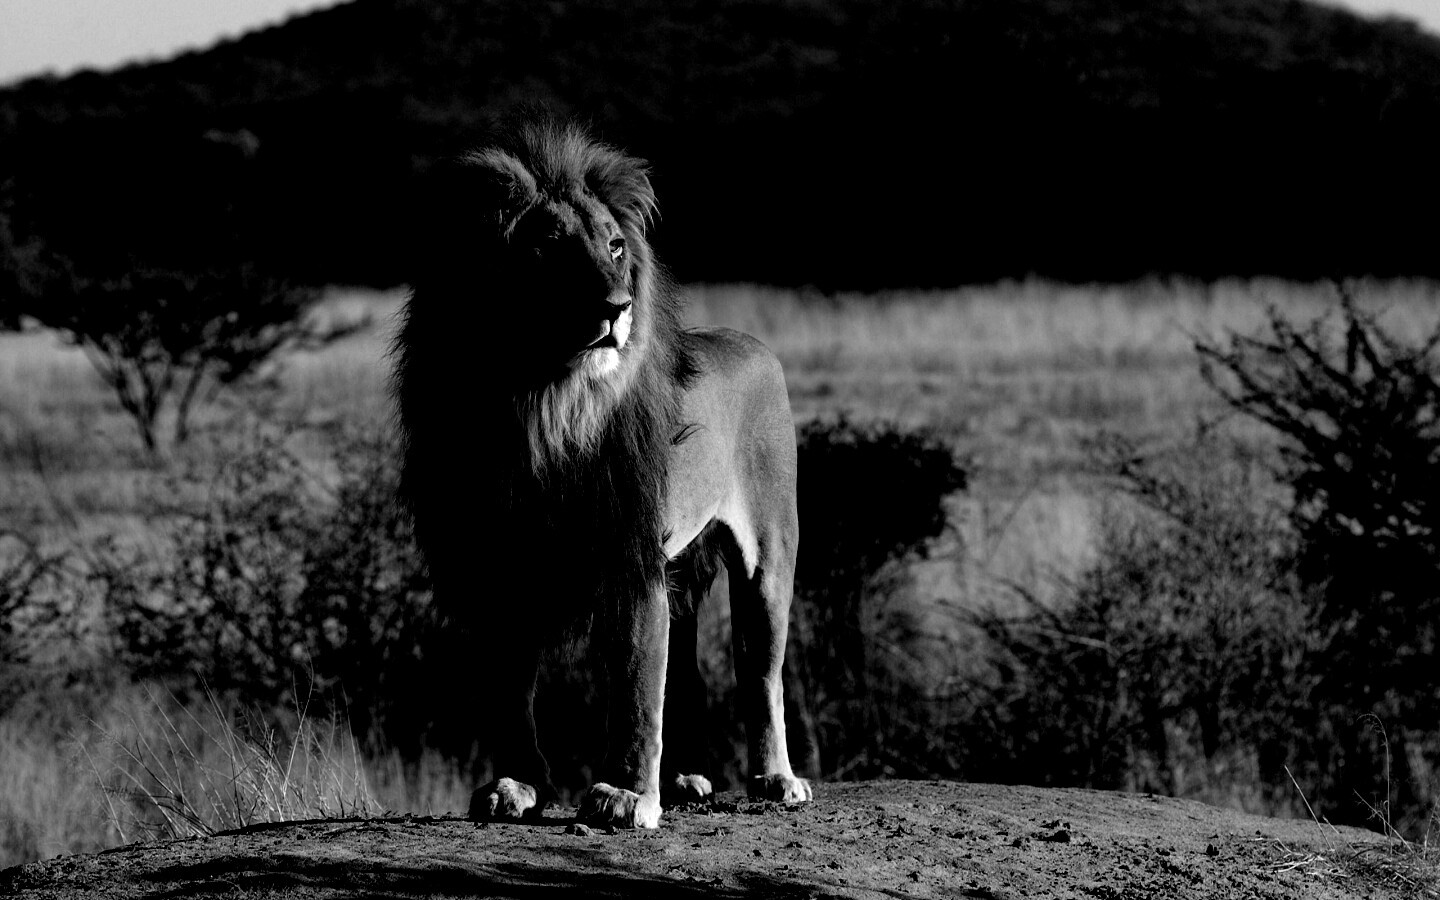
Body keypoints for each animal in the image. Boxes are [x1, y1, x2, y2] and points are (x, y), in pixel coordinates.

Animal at [392, 117, 812, 829]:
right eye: (548, 250)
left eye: (616, 248)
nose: (616, 307)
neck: (538, 406)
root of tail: (752, 344)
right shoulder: (494, 563)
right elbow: (511, 688)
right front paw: (515, 784)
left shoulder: (630, 557)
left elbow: (637, 689)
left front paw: (624, 796)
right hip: (682, 570)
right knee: (688, 666)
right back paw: (685, 780)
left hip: (768, 557)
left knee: (761, 675)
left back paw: (775, 779)